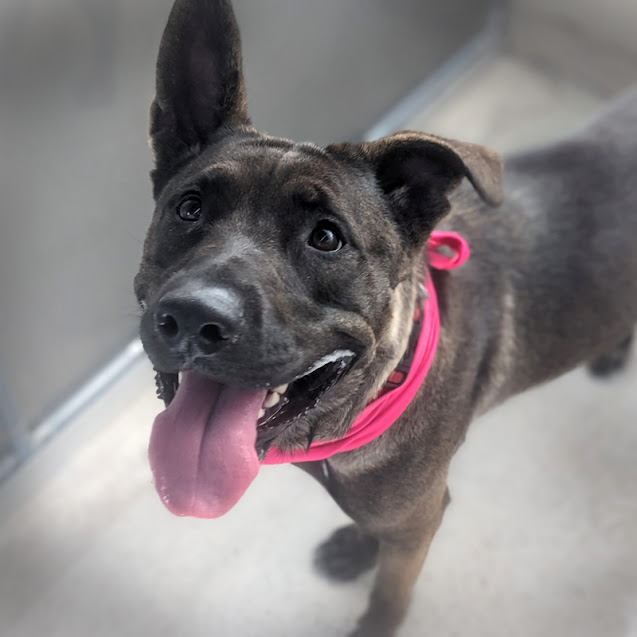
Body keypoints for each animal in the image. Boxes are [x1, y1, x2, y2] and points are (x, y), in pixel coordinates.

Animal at [134, 1, 637, 635]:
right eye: (190, 208)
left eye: (327, 238)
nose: (196, 318)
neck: (368, 394)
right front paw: (356, 547)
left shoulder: (416, 523)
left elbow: (389, 596)